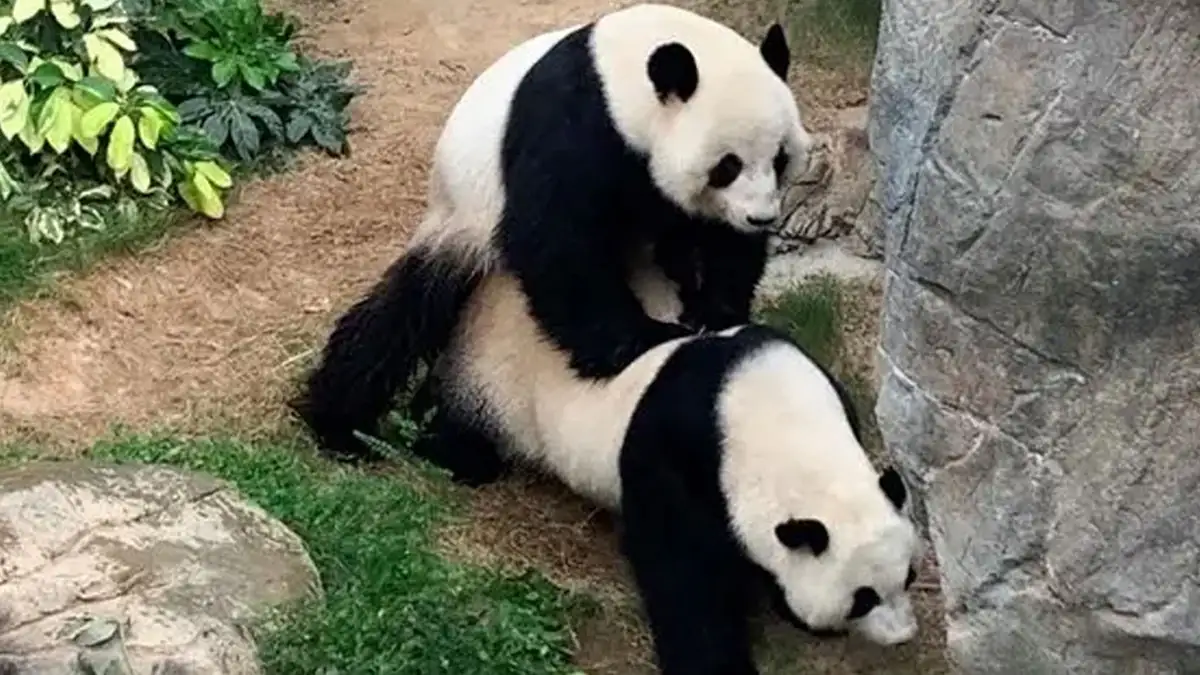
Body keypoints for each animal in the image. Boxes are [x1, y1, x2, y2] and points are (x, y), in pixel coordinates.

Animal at [292, 2, 815, 461]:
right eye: (727, 166)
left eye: (780, 158)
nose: (761, 218)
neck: (622, 78)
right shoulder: (573, 126)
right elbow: (557, 244)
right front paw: (641, 339)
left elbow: (718, 242)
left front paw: (714, 310)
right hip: (461, 221)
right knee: (400, 318)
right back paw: (340, 425)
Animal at [410, 265, 924, 674]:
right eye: (863, 598)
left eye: (909, 576)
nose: (904, 635)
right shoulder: (678, 452)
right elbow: (681, 571)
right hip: (495, 382)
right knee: (459, 427)